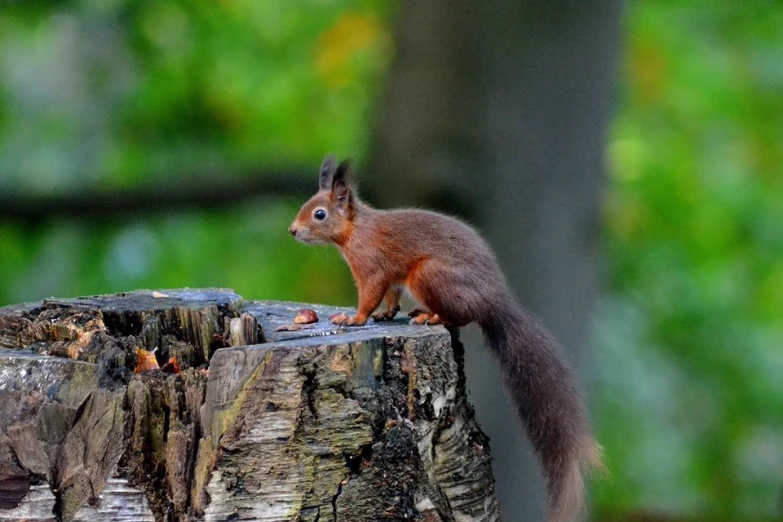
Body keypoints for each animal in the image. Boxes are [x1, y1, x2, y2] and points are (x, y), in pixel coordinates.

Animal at [290, 155, 604, 520]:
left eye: (319, 214)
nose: (293, 230)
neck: (356, 230)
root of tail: (493, 301)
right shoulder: (390, 278)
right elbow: (391, 297)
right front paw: (385, 315)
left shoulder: (372, 266)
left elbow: (370, 295)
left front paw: (354, 318)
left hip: (429, 274)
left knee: (461, 317)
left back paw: (431, 315)